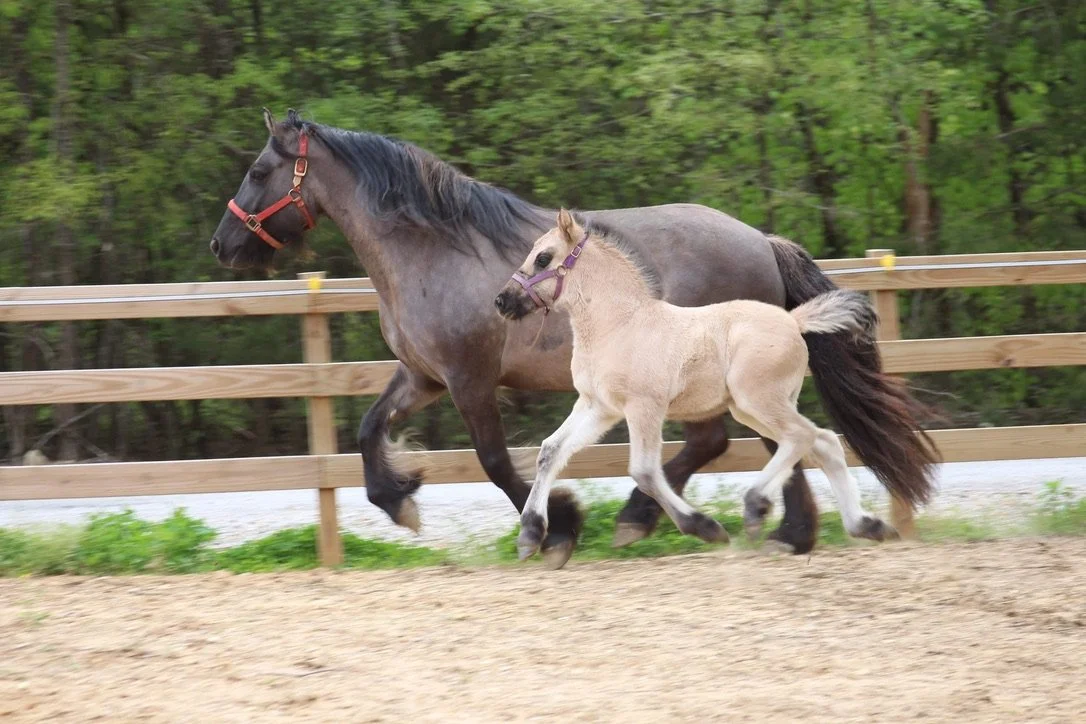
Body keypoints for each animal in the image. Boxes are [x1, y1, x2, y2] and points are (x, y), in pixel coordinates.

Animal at [497, 210, 926, 560]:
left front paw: (702, 528)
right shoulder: (598, 407)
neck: (619, 324)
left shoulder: (643, 407)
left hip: (758, 401)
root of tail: (794, 321)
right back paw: (866, 526)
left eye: (543, 257)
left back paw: (757, 507)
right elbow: (550, 452)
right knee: (824, 442)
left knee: (802, 437)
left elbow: (645, 471)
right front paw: (530, 536)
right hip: (754, 407)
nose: (503, 301)